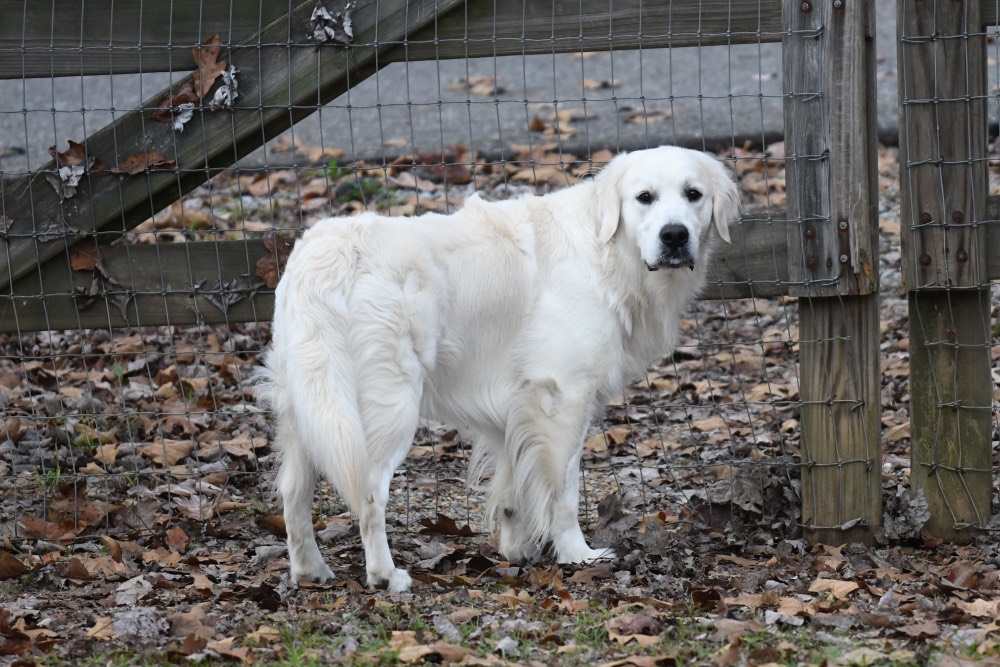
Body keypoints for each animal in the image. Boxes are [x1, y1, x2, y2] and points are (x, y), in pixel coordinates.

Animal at [258, 145, 744, 588]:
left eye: (693, 194)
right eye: (645, 197)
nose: (674, 236)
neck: (606, 251)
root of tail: (328, 253)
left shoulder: (513, 406)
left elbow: (512, 488)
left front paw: (516, 551)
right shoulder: (562, 399)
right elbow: (564, 493)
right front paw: (577, 554)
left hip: (310, 408)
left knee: (293, 494)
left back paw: (310, 571)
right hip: (385, 408)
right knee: (369, 493)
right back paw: (385, 576)